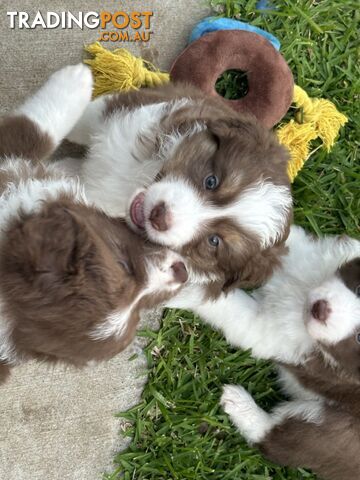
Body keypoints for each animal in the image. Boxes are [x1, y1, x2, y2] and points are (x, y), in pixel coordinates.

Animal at [169, 226, 360, 480]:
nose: (320, 309)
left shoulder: (271, 334)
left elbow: (228, 306)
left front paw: (187, 288)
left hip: (337, 432)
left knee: (279, 441)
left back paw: (239, 403)